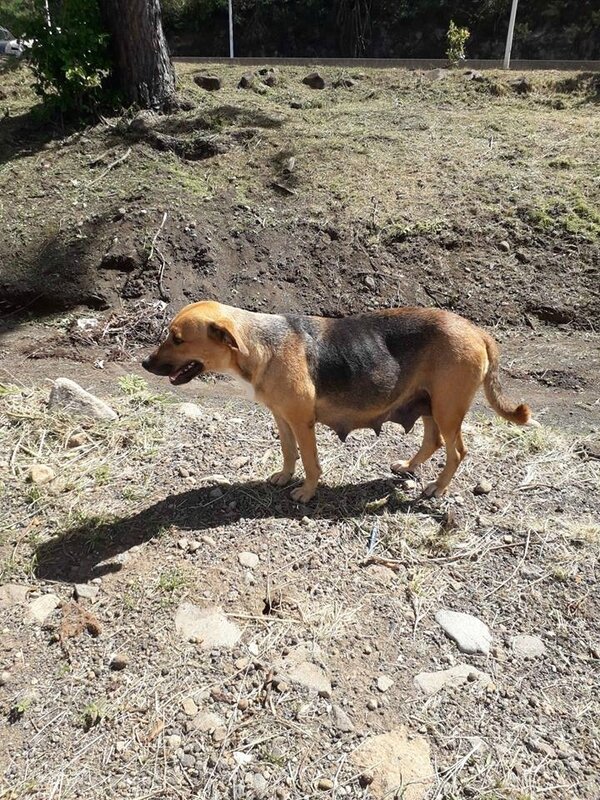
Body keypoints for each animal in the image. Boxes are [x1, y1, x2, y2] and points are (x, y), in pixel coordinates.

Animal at [143, 300, 536, 500]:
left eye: (177, 339)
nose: (145, 363)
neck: (261, 344)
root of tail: (478, 330)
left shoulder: (302, 422)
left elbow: (310, 461)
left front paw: (306, 491)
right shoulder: (281, 418)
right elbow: (289, 453)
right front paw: (284, 477)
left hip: (447, 408)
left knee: (457, 451)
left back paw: (437, 488)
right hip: (429, 404)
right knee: (434, 442)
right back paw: (408, 467)